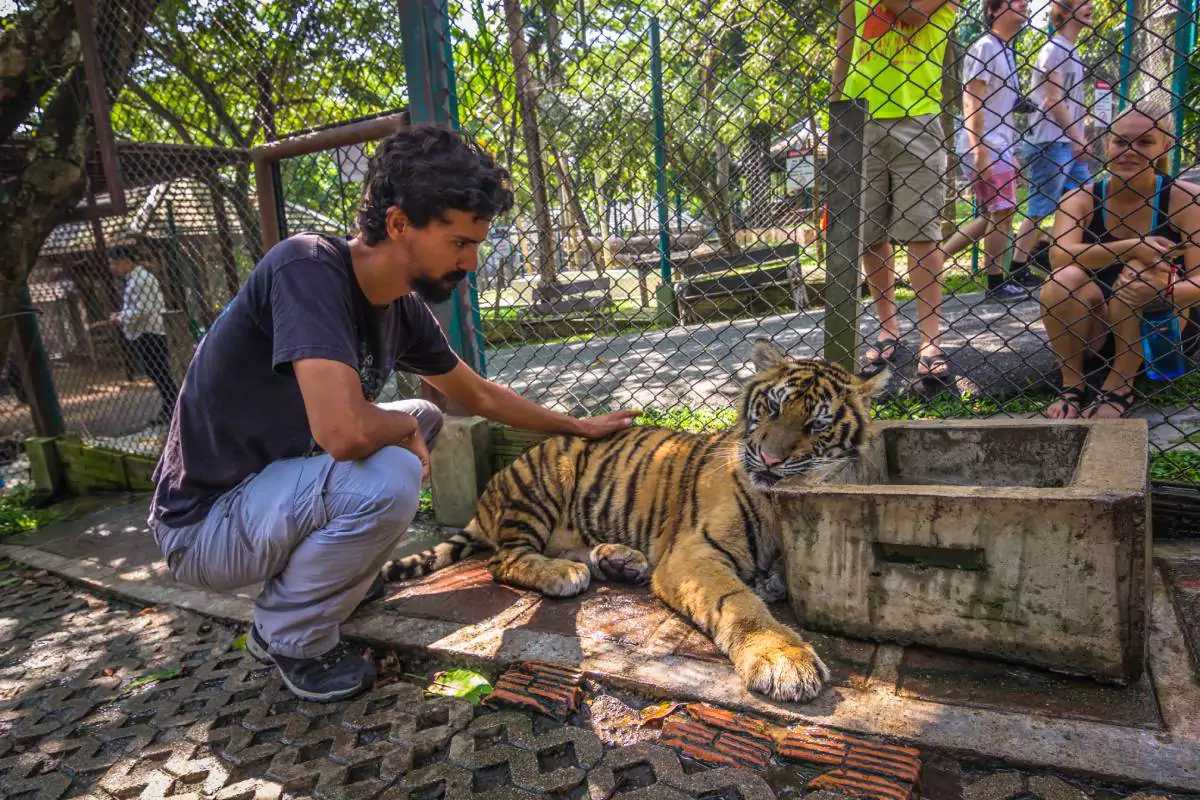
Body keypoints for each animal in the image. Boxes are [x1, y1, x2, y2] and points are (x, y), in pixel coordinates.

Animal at [381, 339, 890, 703]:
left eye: (817, 425)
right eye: (772, 408)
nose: (768, 458)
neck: (778, 502)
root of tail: (490, 492)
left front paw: (773, 586)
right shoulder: (694, 554)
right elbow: (739, 604)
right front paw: (783, 660)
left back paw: (621, 561)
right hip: (543, 483)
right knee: (504, 560)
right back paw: (565, 574)